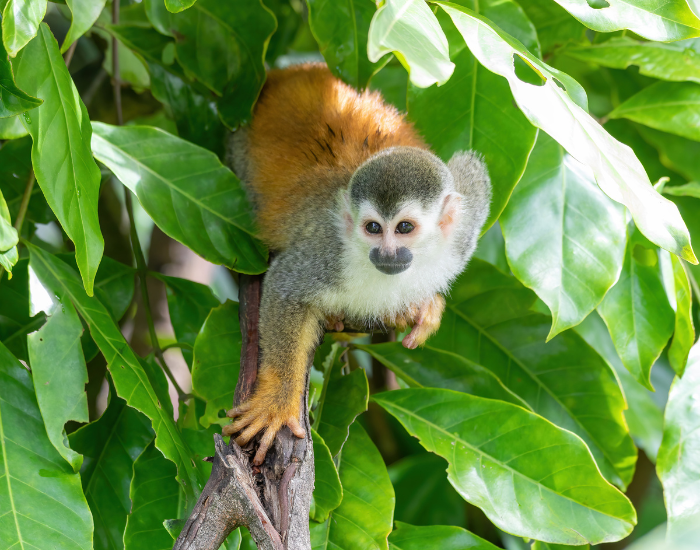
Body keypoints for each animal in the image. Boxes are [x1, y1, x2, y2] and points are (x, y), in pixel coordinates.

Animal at [223, 63, 491, 465]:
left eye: (404, 228)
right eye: (373, 228)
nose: (387, 253)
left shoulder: (465, 229)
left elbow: (472, 171)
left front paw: (426, 307)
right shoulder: (328, 252)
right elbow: (285, 287)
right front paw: (276, 403)